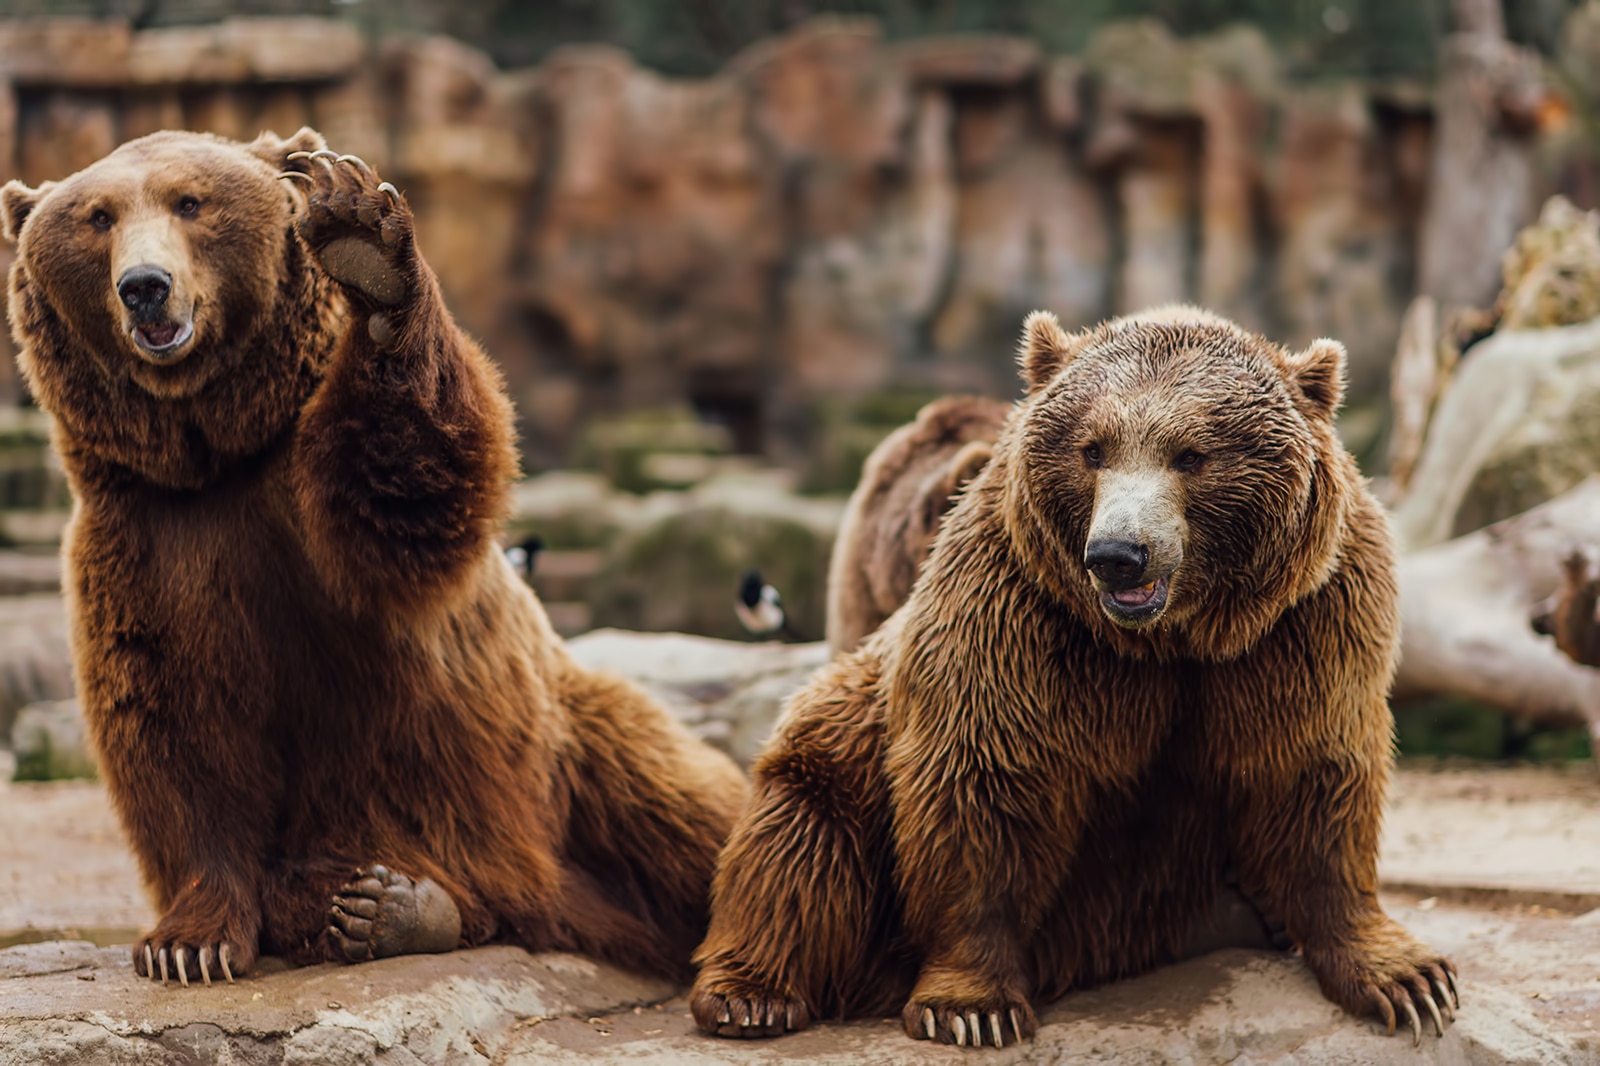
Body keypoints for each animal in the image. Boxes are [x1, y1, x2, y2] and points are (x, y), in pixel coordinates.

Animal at [0, 128, 745, 985]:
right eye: (97, 217)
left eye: (190, 201)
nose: (145, 287)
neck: (218, 454)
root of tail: (548, 905)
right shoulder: (146, 544)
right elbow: (178, 728)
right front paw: (189, 943)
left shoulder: (318, 506)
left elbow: (408, 485)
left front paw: (363, 245)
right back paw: (389, 906)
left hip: (570, 743)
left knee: (683, 808)